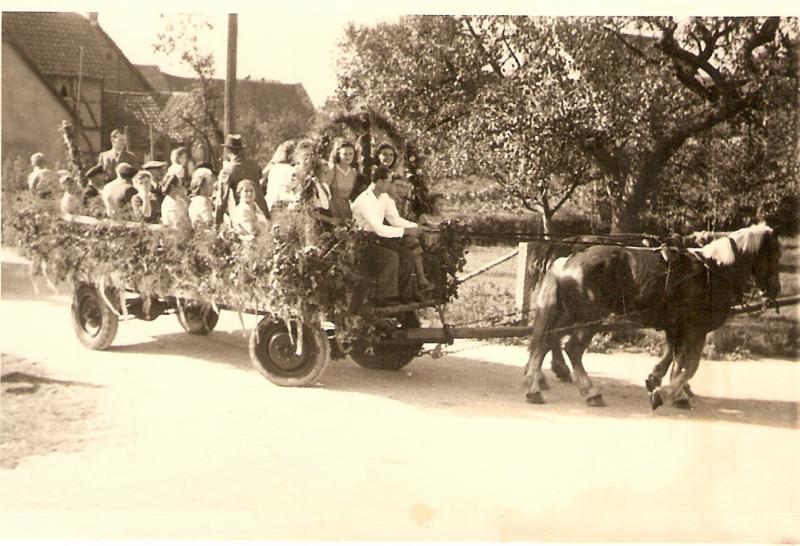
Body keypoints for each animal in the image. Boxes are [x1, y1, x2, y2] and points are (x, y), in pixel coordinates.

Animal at [524, 222, 780, 408]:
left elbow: (677, 359)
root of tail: (565, 260)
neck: (714, 269)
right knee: (572, 349)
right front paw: (667, 392)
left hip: (568, 314)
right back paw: (590, 392)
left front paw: (668, 388)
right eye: (775, 256)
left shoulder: (678, 326)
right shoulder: (695, 327)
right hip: (588, 319)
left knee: (545, 341)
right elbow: (690, 365)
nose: (775, 289)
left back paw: (535, 386)